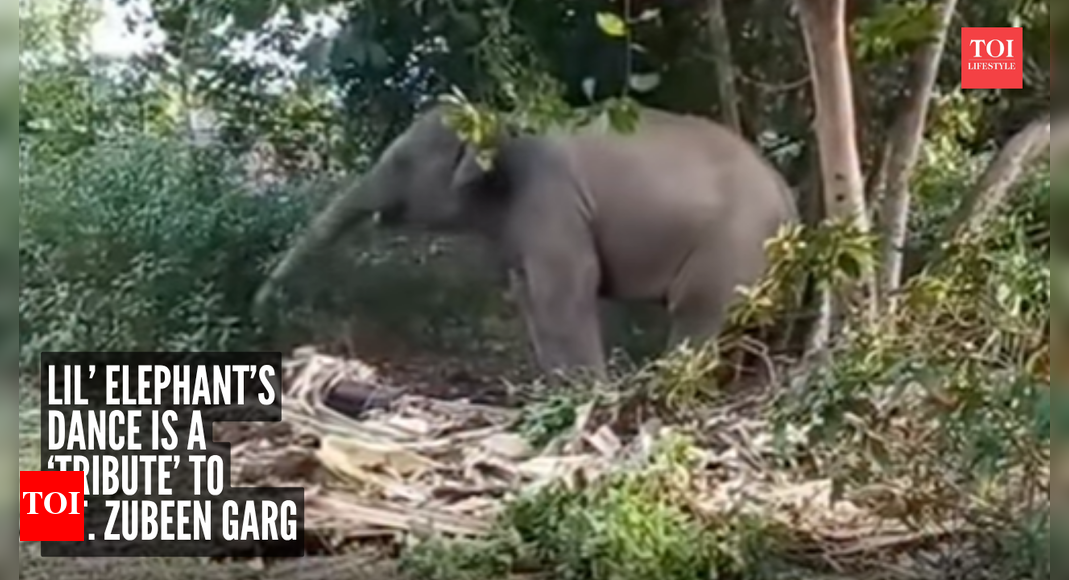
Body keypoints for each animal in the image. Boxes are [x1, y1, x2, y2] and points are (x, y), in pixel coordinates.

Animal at [255, 104, 799, 381]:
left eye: (402, 162)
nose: (262, 305)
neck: (501, 122)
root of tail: (789, 199)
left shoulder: (551, 201)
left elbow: (568, 289)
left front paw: (586, 396)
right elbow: (528, 296)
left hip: (732, 245)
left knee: (697, 313)